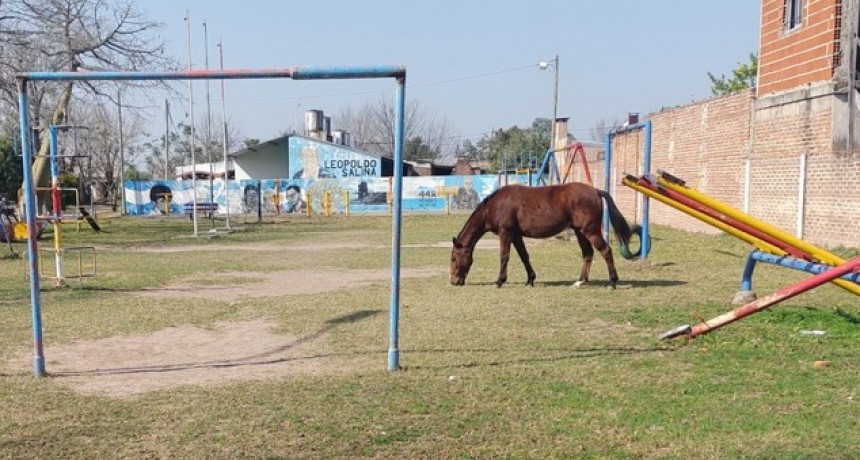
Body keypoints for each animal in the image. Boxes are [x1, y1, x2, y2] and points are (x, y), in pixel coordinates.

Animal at [450, 182, 640, 288]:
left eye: (453, 258)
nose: (453, 281)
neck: (495, 205)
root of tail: (595, 191)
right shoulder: (516, 235)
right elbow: (524, 256)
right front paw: (530, 280)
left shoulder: (506, 233)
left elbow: (504, 256)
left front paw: (499, 281)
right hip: (580, 232)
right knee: (588, 254)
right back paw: (580, 281)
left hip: (591, 231)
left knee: (606, 251)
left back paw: (612, 282)